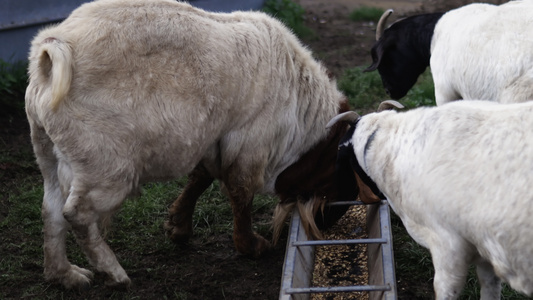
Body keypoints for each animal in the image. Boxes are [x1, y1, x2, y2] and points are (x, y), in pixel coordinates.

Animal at [27, 0, 356, 290]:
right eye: (339, 173)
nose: (328, 223)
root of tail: (53, 46)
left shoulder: (214, 139)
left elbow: (200, 178)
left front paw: (178, 226)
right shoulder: (250, 144)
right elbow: (241, 193)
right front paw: (249, 246)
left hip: (49, 152)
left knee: (51, 211)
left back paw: (64, 275)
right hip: (106, 166)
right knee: (77, 215)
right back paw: (114, 273)